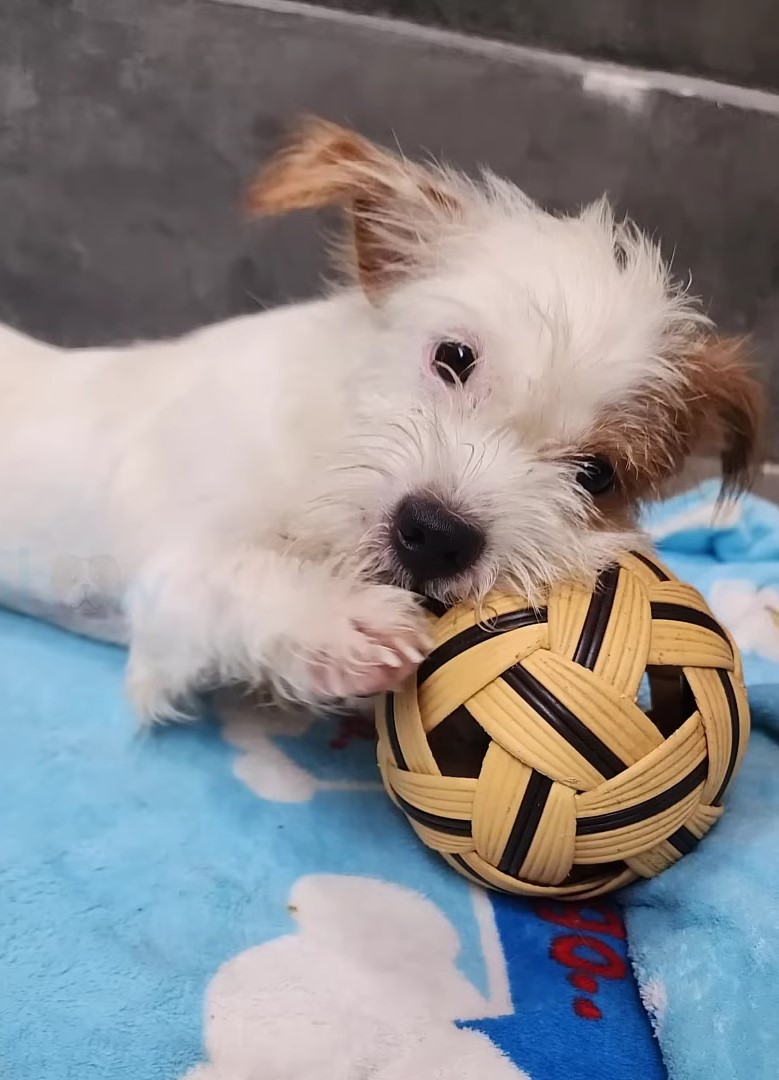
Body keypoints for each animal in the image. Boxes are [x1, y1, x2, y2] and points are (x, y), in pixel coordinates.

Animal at [0, 120, 760, 717]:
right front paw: (340, 620)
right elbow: (234, 577)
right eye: (453, 356)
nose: (436, 535)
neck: (323, 461)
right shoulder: (173, 582)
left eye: (597, 475)